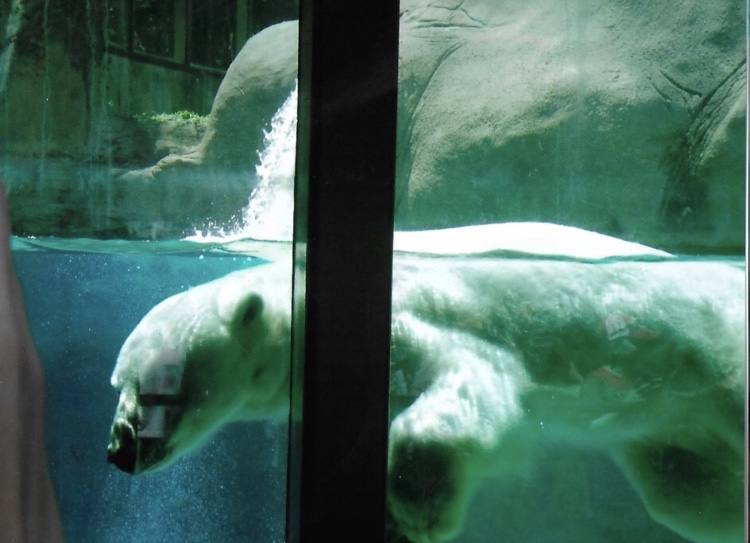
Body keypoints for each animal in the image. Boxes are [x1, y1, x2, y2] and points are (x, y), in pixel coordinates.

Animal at [106, 223, 745, 543]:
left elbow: (476, 385)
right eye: (117, 382)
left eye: (157, 384)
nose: (118, 448)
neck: (310, 303)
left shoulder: (408, 318)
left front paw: (412, 511)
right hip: (673, 423)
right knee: (687, 492)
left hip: (716, 351)